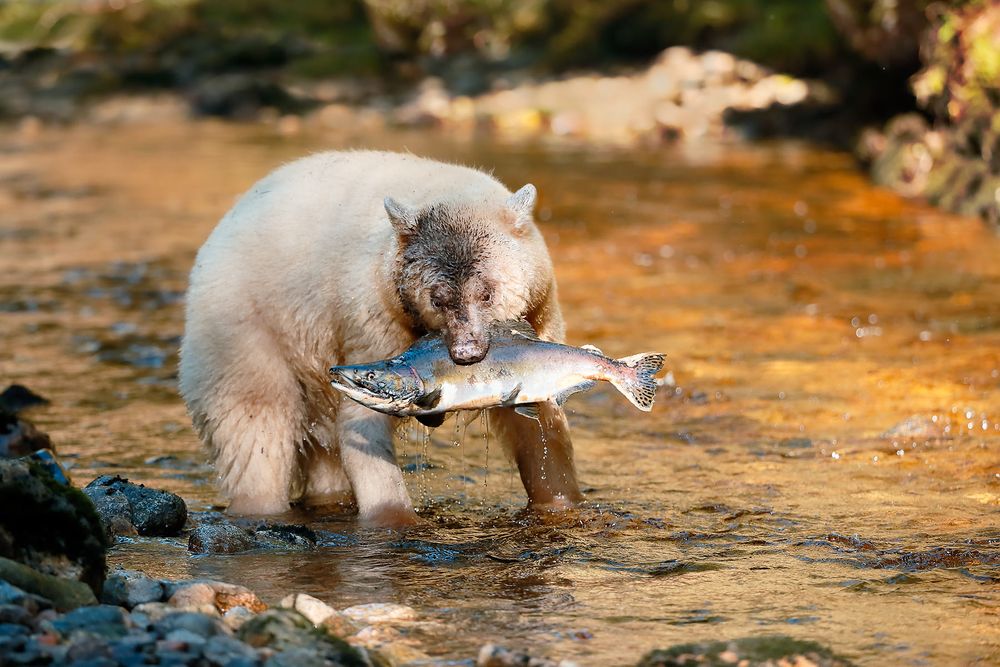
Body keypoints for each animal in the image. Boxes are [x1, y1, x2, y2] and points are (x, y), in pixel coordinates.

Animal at [179, 150, 583, 526]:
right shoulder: (376, 317)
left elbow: (538, 423)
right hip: (246, 329)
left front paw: (559, 501)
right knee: (257, 430)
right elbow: (362, 423)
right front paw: (396, 518)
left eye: (486, 293)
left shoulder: (539, 314)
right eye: (438, 298)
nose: (466, 353)